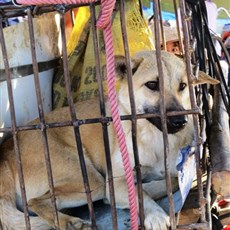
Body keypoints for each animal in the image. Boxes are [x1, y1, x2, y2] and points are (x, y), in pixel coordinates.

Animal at [0, 50, 218, 230]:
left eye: (182, 86)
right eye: (152, 85)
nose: (181, 121)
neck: (153, 136)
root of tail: (7, 150)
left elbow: (170, 180)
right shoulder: (117, 180)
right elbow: (139, 192)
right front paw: (154, 213)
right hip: (90, 180)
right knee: (35, 201)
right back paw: (69, 222)